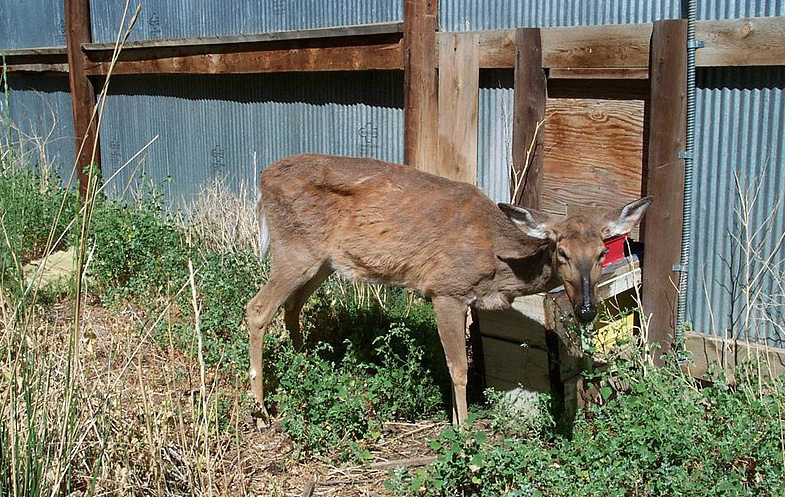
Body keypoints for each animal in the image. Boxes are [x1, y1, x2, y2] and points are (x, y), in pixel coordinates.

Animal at [245, 154, 648, 422]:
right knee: (257, 309)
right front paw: (465, 433)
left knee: (291, 307)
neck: (497, 262)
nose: (587, 309)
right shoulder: (446, 290)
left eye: (601, 253)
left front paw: (456, 421)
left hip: (322, 261)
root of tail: (262, 179)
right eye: (561, 252)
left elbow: (453, 363)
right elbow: (459, 368)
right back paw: (262, 408)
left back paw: (306, 367)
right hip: (295, 249)